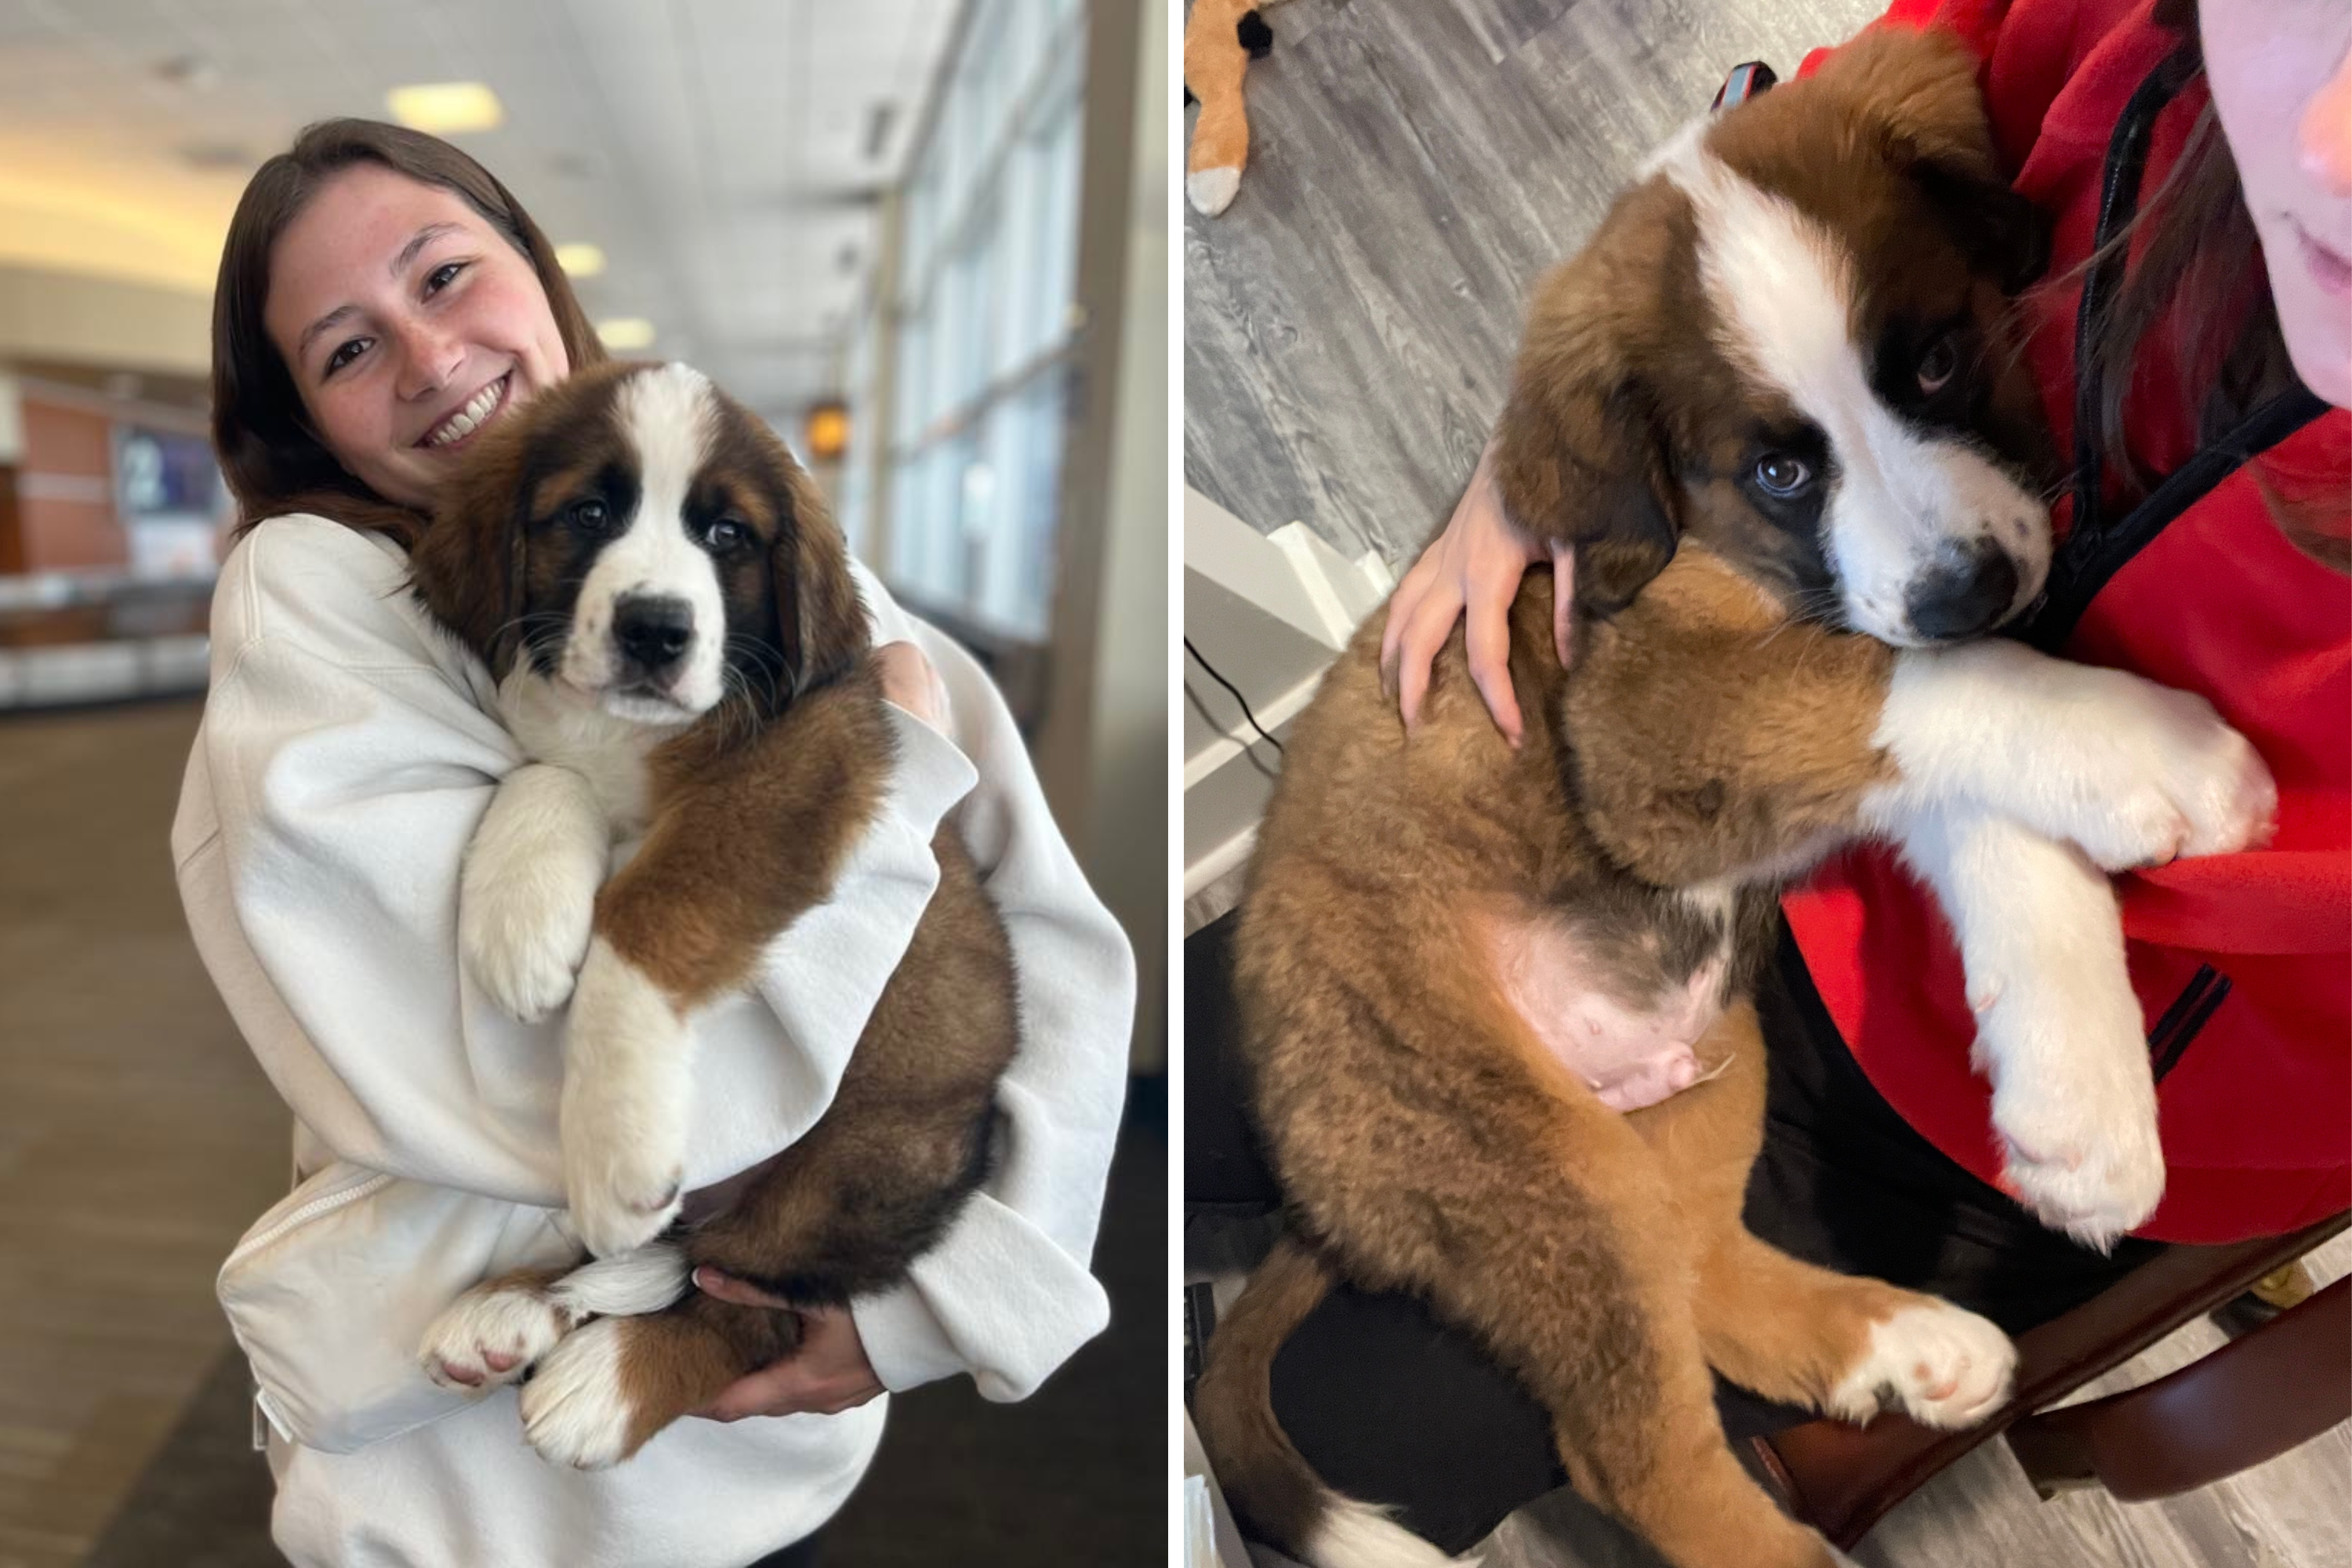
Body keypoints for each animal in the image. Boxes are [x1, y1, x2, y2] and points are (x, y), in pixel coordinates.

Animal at [402, 359, 1017, 1468]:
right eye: (590, 513)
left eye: (727, 533)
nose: (656, 628)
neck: (635, 736)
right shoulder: (576, 747)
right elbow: (541, 774)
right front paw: (521, 919)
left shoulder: (802, 764)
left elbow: (650, 908)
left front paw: (618, 1142)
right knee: (673, 1259)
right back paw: (510, 1308)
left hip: (853, 1162)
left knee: (752, 1295)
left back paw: (606, 1377)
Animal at [1192, 28, 2275, 1568]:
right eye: (1778, 468)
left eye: (1938, 359)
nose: (1969, 588)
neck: (1718, 549)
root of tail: (1313, 1188)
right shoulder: (1652, 732)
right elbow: (1926, 691)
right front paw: (2159, 756)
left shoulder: (1801, 763)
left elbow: (1975, 789)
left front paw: (2079, 1099)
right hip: (1526, 1154)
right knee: (1630, 1453)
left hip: (1707, 1068)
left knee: (1695, 1267)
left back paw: (1906, 1347)